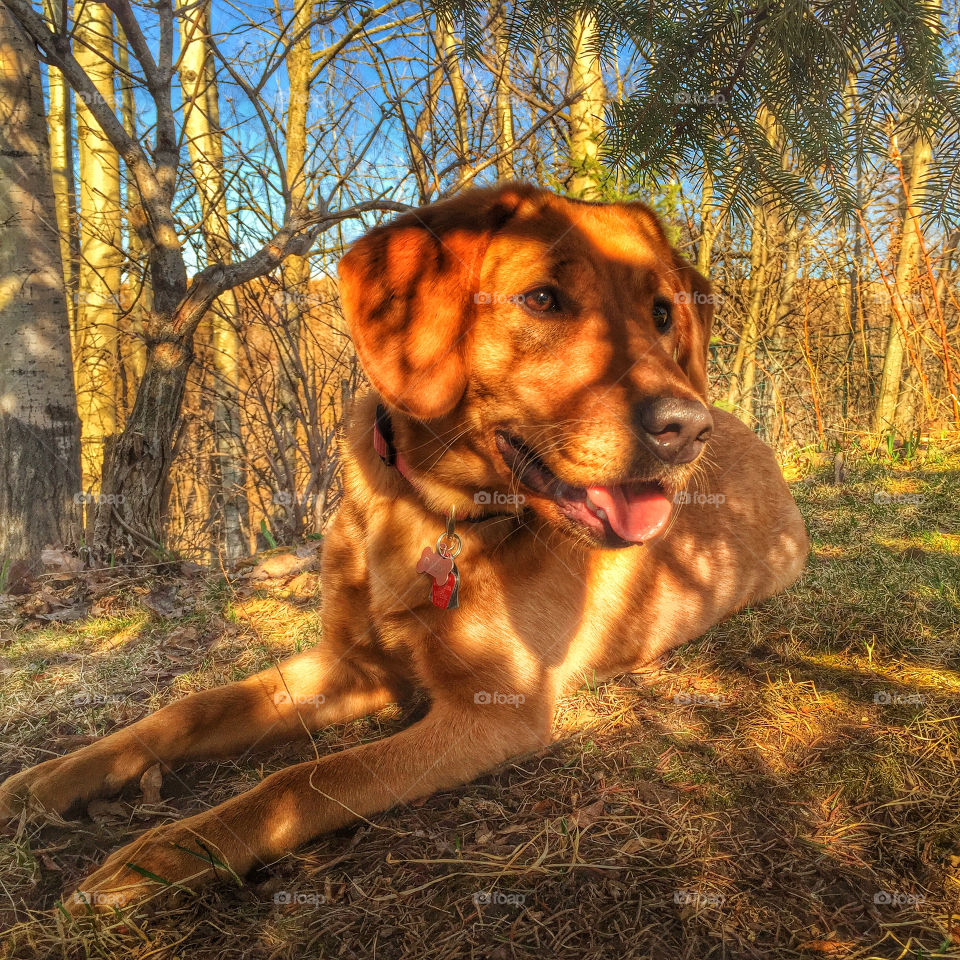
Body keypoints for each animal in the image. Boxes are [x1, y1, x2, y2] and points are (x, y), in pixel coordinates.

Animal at [0, 184, 808, 912]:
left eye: (664, 313)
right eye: (543, 299)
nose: (686, 428)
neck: (435, 514)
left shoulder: (492, 711)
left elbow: (304, 780)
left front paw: (163, 855)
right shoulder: (353, 663)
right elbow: (187, 712)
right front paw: (52, 779)